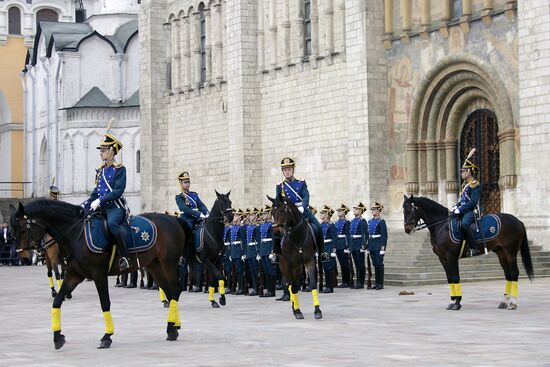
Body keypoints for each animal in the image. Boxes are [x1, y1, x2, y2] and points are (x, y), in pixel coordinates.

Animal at [9, 201, 197, 350]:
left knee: (176, 289)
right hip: (154, 266)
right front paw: (57, 337)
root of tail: (174, 219)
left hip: (168, 263)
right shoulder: (74, 275)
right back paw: (173, 327)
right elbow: (57, 301)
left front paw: (107, 336)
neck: (76, 233)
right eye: (13, 230)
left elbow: (105, 303)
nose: (23, 258)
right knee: (170, 292)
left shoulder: (98, 274)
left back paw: (172, 327)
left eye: (22, 229)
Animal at [406, 194, 536, 312]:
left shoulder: (451, 257)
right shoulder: (442, 259)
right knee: (508, 274)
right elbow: (449, 279)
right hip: (501, 253)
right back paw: (504, 301)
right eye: (403, 210)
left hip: (510, 252)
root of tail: (518, 220)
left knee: (514, 273)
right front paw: (452, 301)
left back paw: (513, 303)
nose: (407, 229)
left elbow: (455, 277)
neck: (442, 226)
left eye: (410, 210)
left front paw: (457, 303)